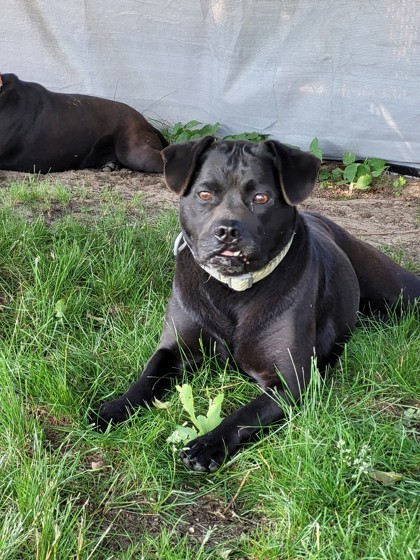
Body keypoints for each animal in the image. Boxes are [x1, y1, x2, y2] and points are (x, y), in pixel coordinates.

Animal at [95, 137, 420, 472]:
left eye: (261, 197)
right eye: (204, 194)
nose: (227, 231)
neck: (233, 291)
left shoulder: (291, 380)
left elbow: (245, 415)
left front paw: (208, 444)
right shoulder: (174, 351)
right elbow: (148, 377)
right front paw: (114, 408)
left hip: (400, 290)